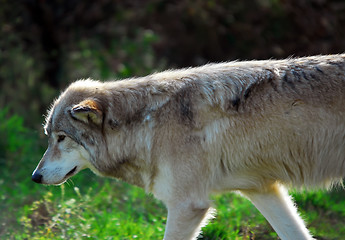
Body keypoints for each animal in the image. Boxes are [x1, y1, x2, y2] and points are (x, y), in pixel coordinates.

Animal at [32, 53, 344, 239]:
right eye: (49, 136)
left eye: (61, 138)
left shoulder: (187, 205)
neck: (148, 124)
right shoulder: (263, 190)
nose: (35, 176)